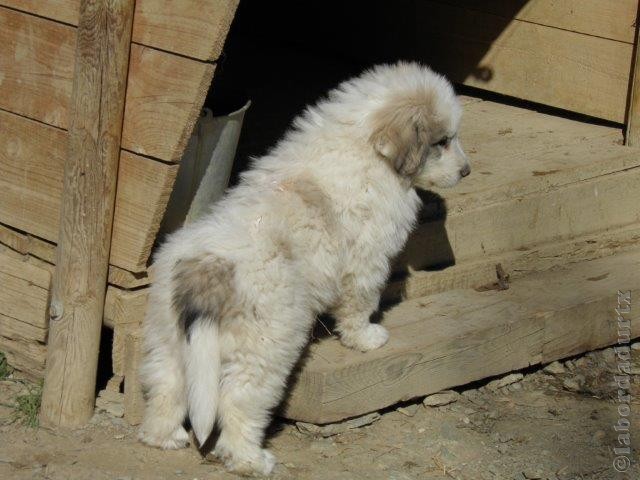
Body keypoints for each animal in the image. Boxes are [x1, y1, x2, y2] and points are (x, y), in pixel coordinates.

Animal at [139, 62, 470, 474]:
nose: (467, 171)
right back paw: (251, 460)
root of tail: (207, 270)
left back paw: (164, 437)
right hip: (265, 347)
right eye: (442, 141)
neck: (361, 145)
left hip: (169, 337)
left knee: (166, 386)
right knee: (238, 401)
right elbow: (360, 305)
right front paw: (366, 338)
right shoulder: (367, 262)